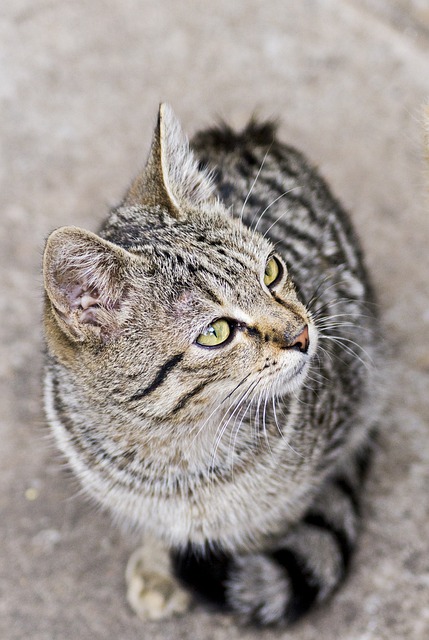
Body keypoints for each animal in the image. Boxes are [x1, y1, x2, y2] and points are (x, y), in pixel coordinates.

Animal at [42, 104, 378, 624]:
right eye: (216, 332)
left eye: (273, 271)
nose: (302, 334)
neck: (176, 453)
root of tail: (245, 132)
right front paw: (160, 561)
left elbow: (265, 522)